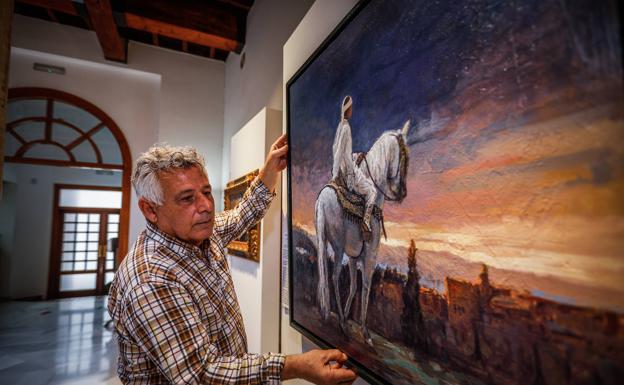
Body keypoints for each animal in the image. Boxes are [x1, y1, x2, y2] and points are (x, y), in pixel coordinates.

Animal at [314, 118, 412, 344]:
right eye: (404, 156)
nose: (402, 192)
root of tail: (323, 200)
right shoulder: (370, 254)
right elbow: (366, 285)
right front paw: (365, 331)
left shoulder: (353, 256)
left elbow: (352, 286)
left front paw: (347, 316)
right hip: (338, 247)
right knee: (333, 276)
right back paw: (341, 322)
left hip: (326, 242)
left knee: (325, 273)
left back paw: (333, 315)